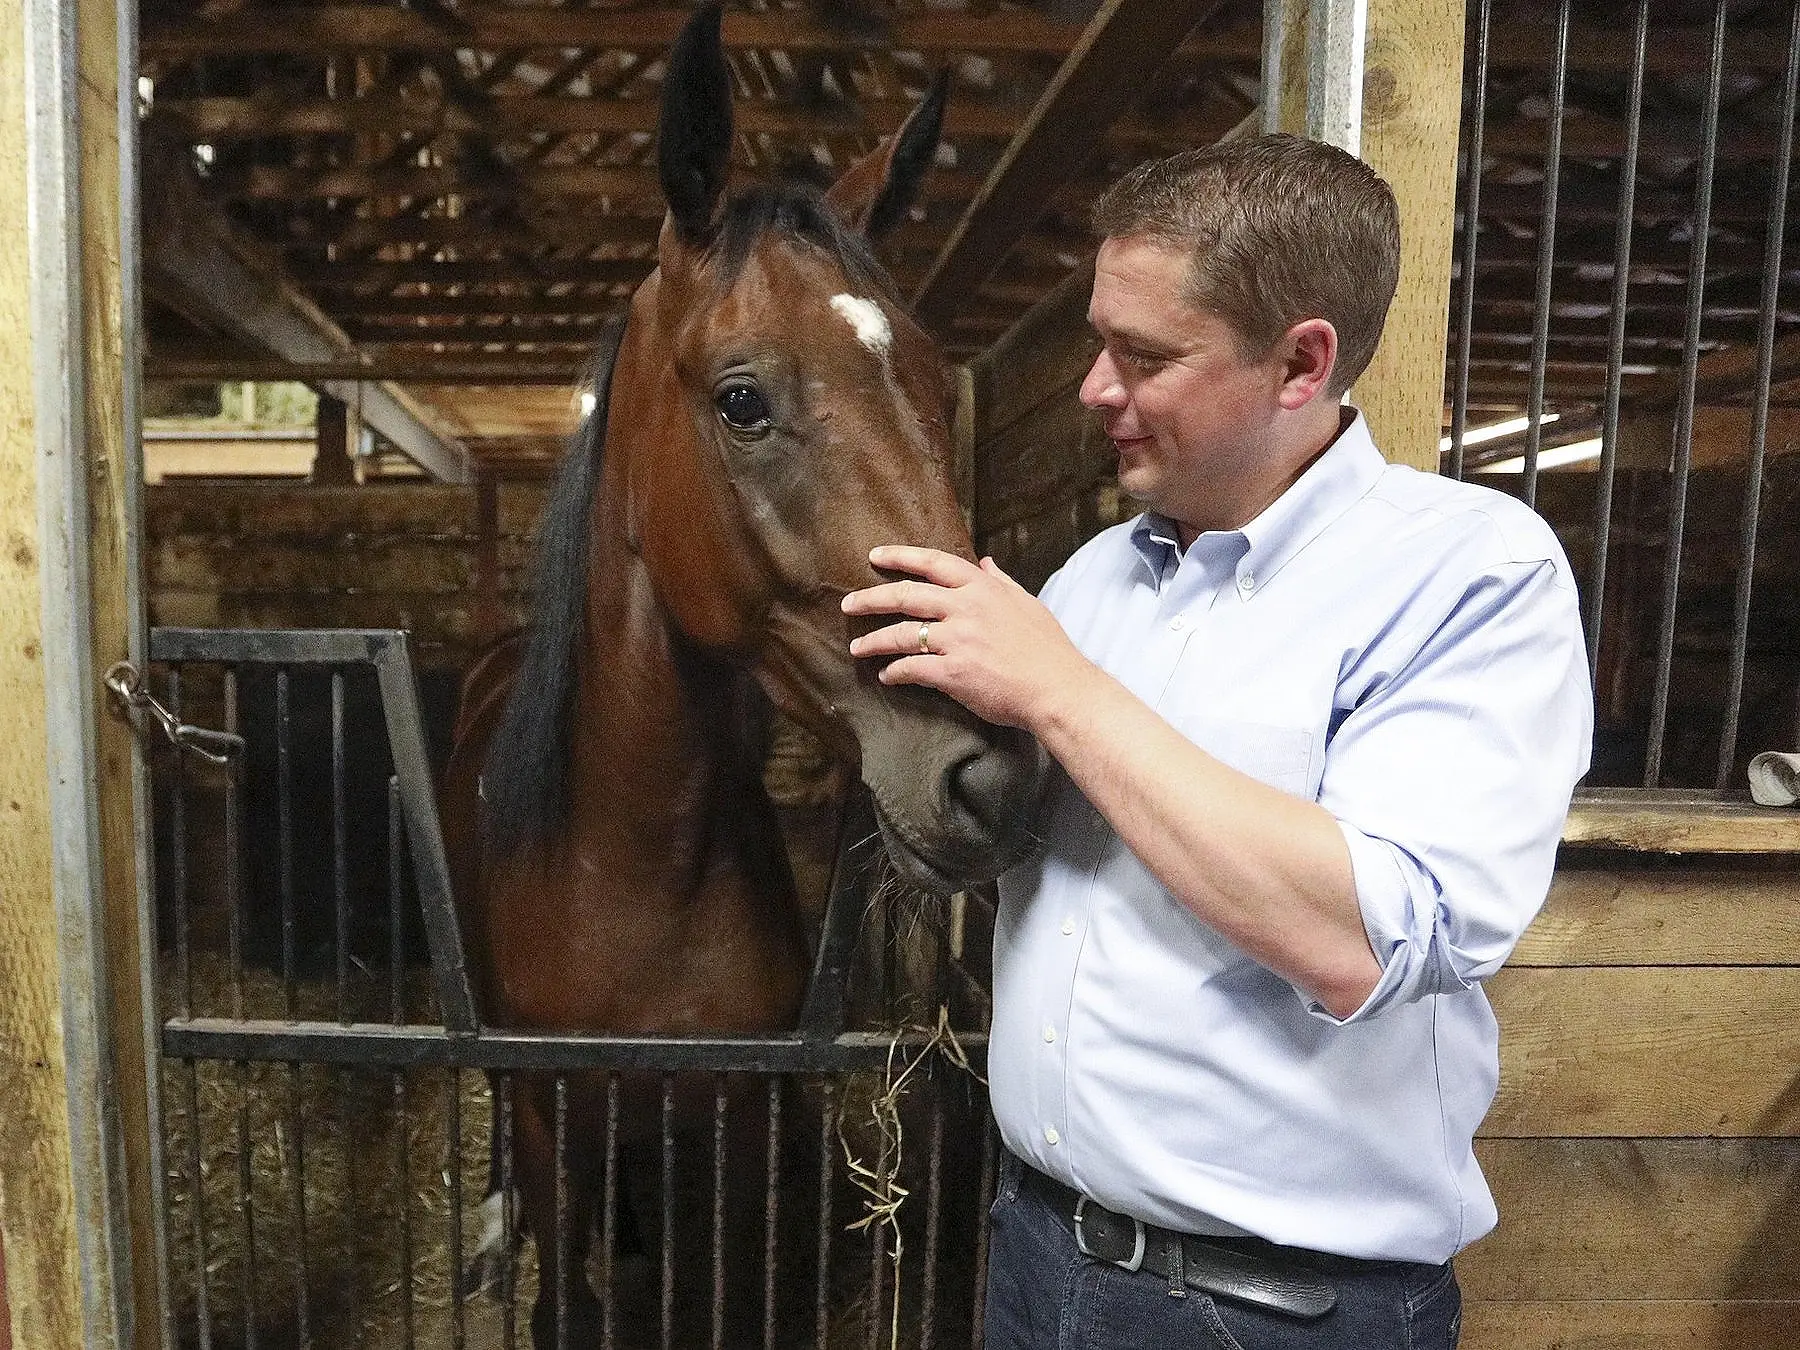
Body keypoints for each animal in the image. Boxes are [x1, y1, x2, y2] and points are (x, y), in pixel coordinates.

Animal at [437, 7, 1051, 1346]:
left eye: (929, 385)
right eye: (742, 400)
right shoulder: (558, 1124)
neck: (637, 876)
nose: (996, 775)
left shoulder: (740, 1130)